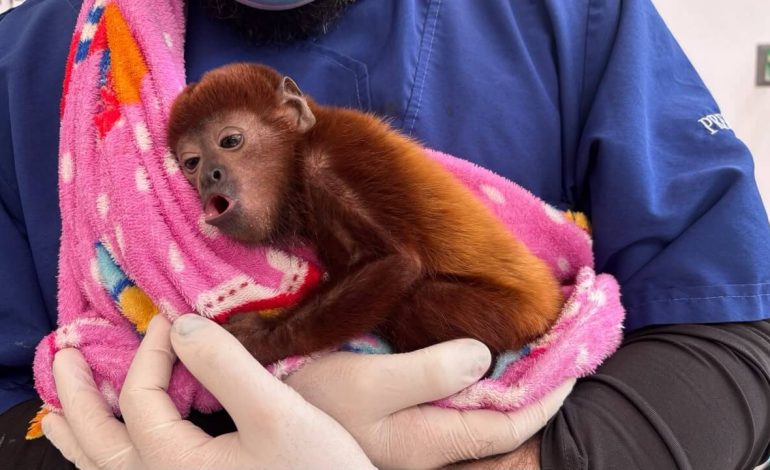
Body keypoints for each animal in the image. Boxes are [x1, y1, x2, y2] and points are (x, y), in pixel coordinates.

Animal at [167, 63, 564, 366]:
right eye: (192, 163)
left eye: (230, 141)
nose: (208, 177)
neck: (300, 150)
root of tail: (549, 300)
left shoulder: (329, 162)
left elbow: (396, 262)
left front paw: (260, 339)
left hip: (514, 315)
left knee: (417, 300)